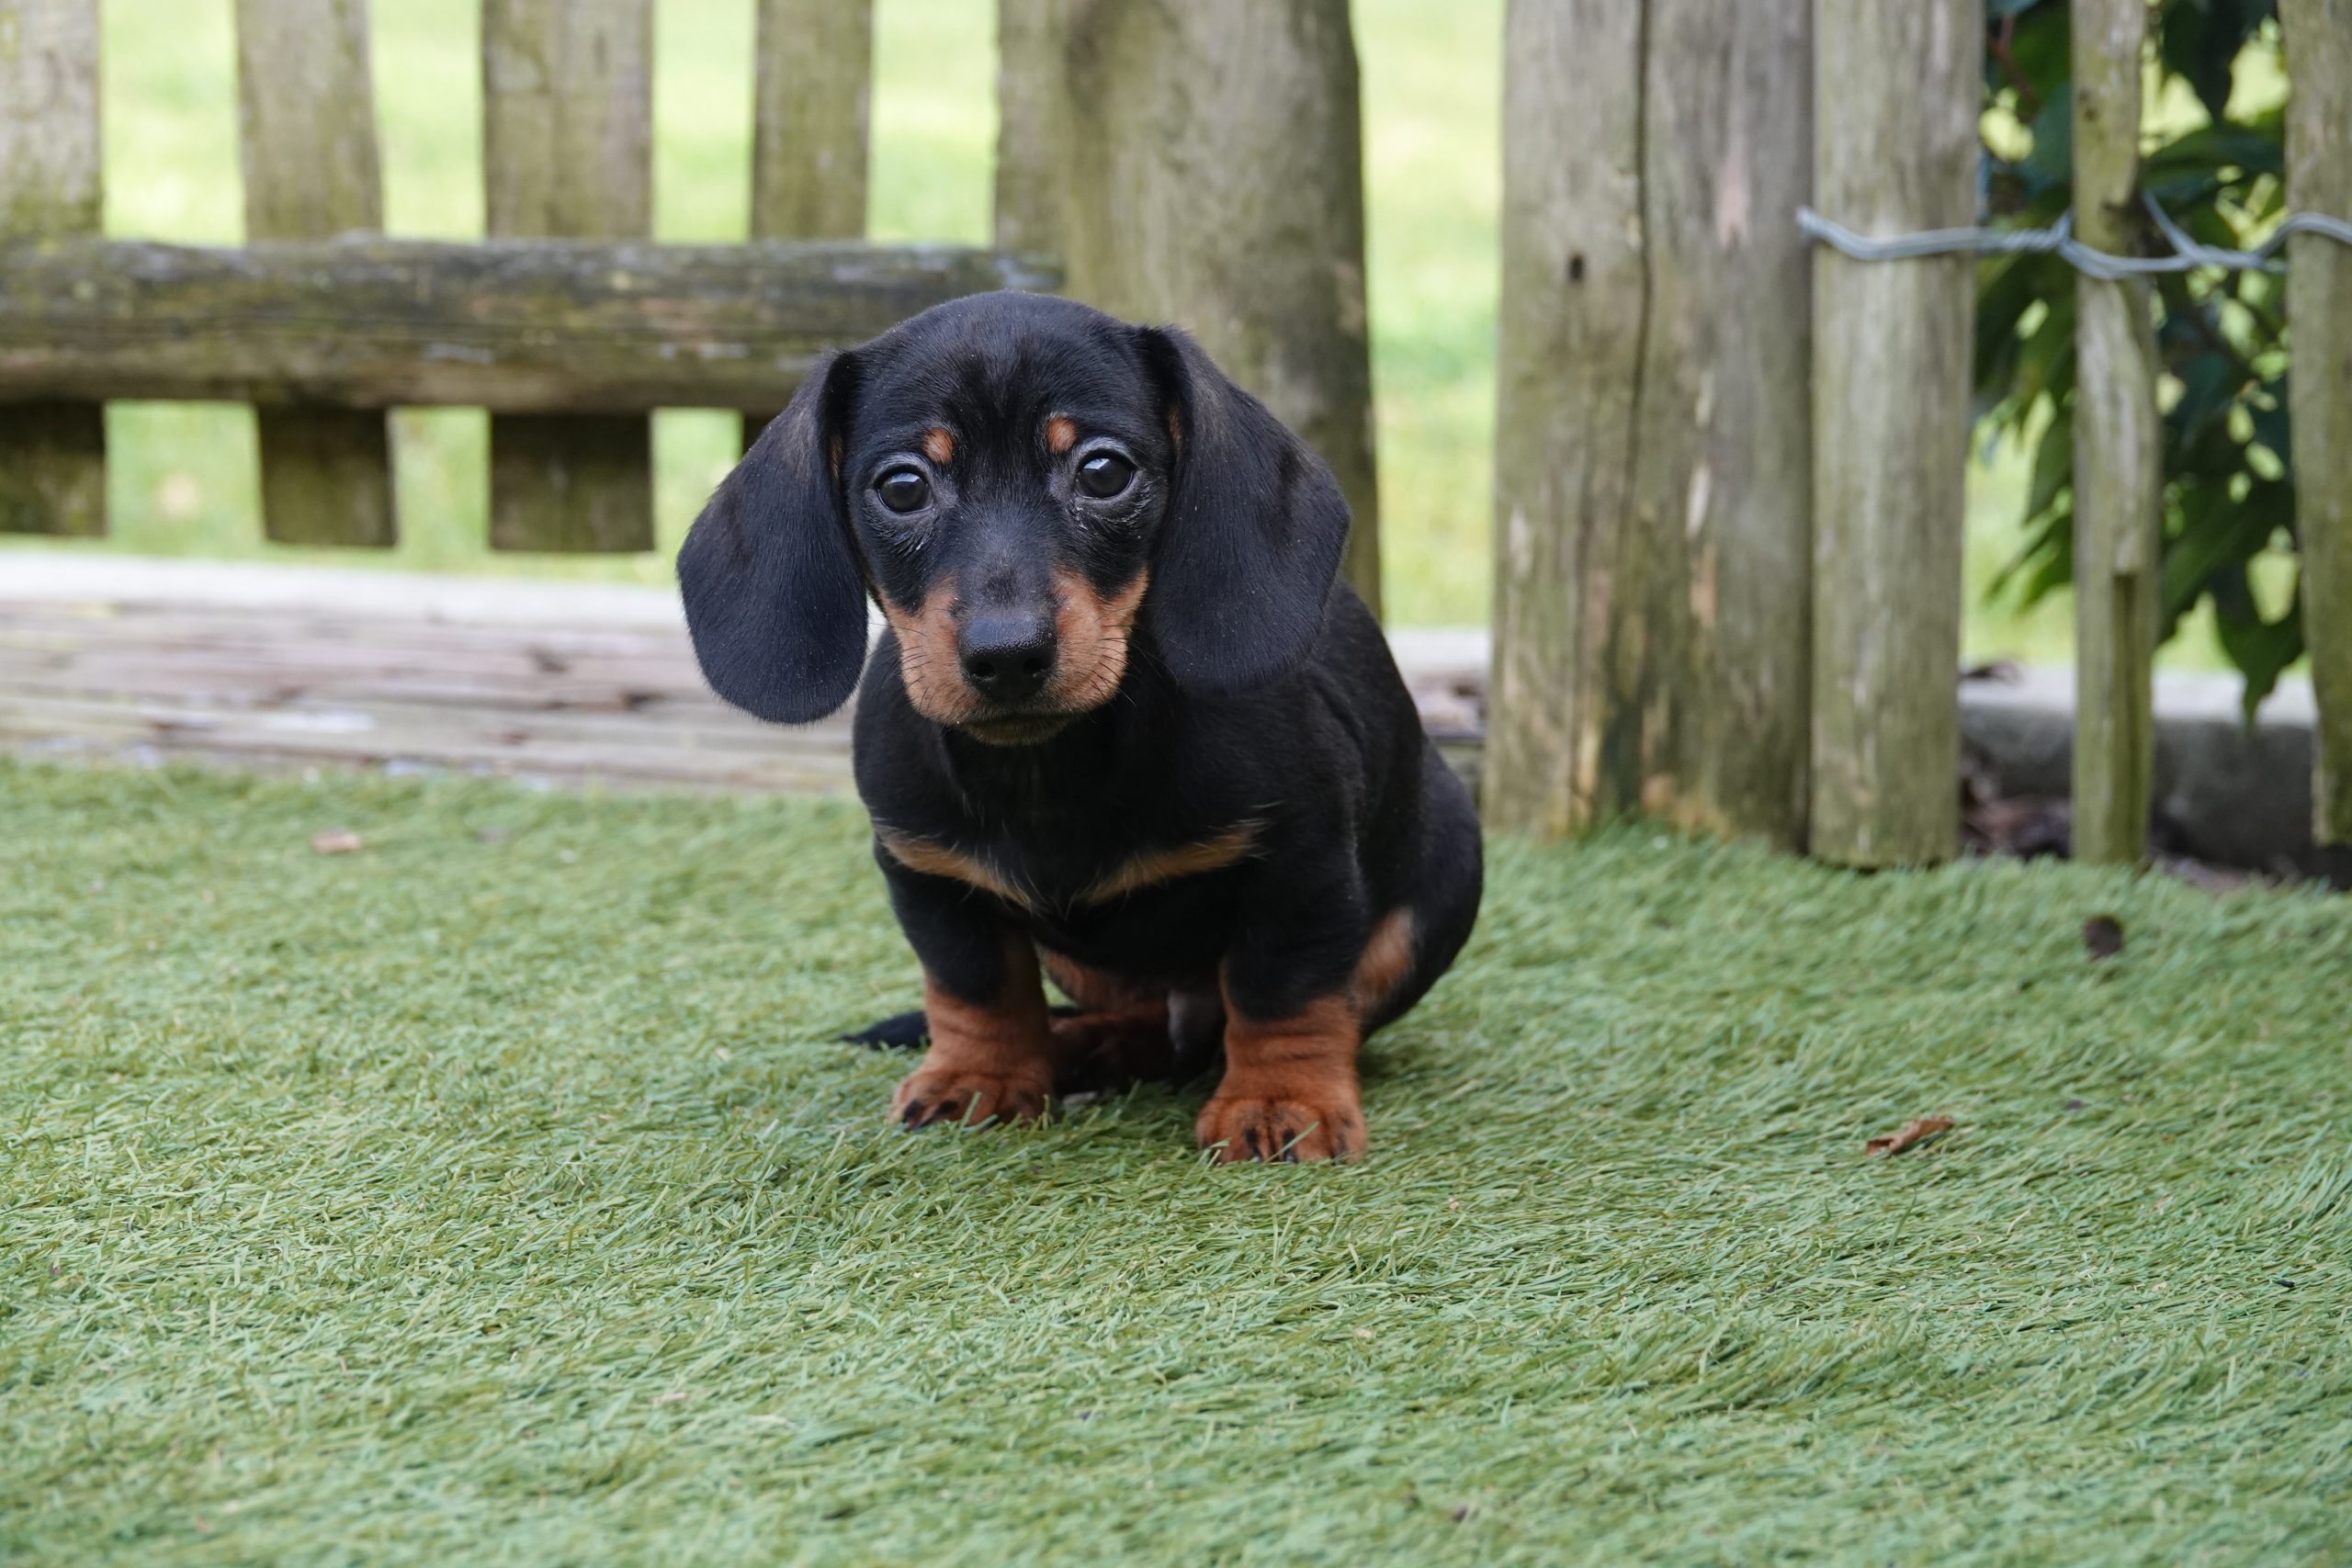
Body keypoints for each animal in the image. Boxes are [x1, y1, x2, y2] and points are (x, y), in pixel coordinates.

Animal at [679, 291, 1481, 1162]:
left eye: (1103, 471)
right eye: (902, 487)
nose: (1006, 655)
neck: (1045, 769)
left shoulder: (1302, 860)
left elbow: (1284, 990)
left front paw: (1280, 1100)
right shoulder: (927, 874)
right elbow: (976, 986)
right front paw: (979, 1076)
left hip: (1444, 876)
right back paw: (1079, 1046)